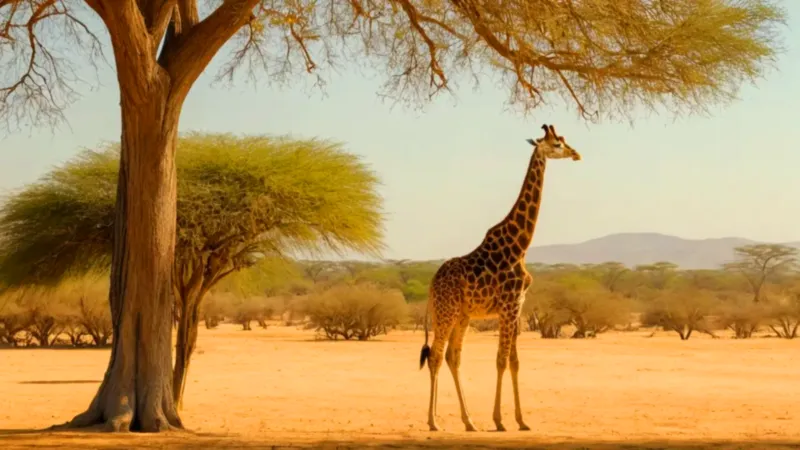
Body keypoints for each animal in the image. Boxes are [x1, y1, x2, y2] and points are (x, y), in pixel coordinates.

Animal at [419, 124, 581, 432]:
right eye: (557, 144)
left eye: (564, 141)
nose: (576, 154)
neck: (520, 246)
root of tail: (431, 285)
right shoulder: (508, 306)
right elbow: (501, 361)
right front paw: (499, 420)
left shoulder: (518, 306)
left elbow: (515, 361)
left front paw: (522, 420)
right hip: (447, 312)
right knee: (435, 356)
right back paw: (433, 422)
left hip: (462, 316)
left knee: (453, 357)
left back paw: (469, 421)